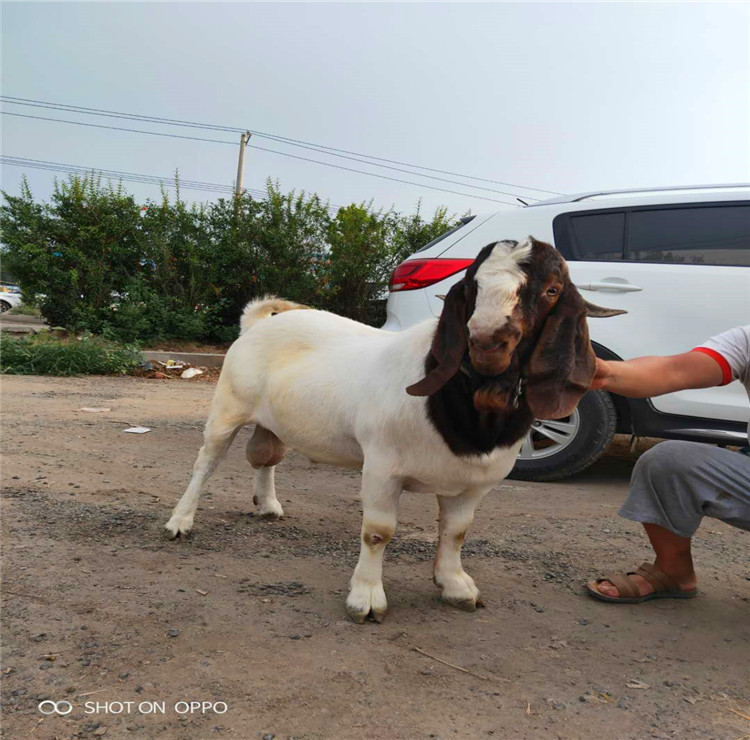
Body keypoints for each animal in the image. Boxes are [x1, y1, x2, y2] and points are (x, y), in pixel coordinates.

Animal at [167, 240, 624, 620]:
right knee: (205, 464)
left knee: (266, 456)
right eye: (471, 286)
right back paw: (180, 521)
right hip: (228, 406)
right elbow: (378, 532)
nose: (487, 342)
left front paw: (456, 586)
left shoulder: (475, 483)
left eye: (552, 290)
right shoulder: (383, 467)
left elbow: (456, 532)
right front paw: (366, 598)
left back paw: (268, 505)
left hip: (273, 421)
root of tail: (256, 324)